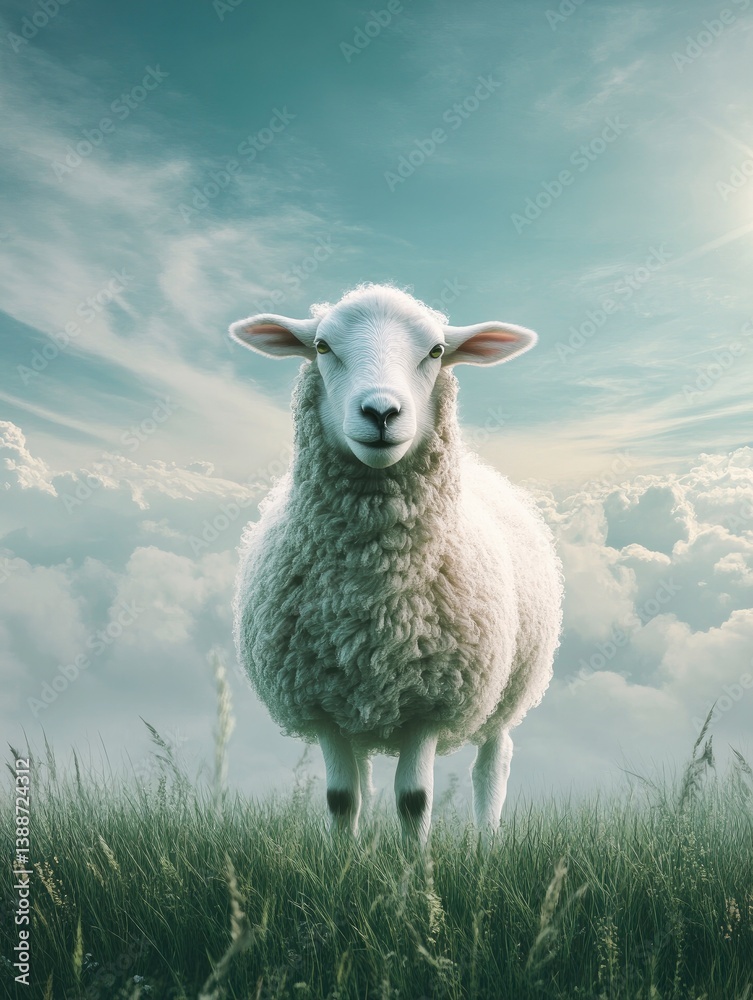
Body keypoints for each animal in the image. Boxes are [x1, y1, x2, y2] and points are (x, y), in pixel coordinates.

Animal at [230, 284, 563, 844]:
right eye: (321, 347)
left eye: (436, 351)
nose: (381, 412)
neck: (374, 590)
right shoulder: (322, 703)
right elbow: (342, 799)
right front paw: (344, 861)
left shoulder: (431, 702)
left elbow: (414, 800)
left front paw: (414, 865)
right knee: (362, 782)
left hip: (507, 688)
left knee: (492, 763)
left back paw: (488, 842)